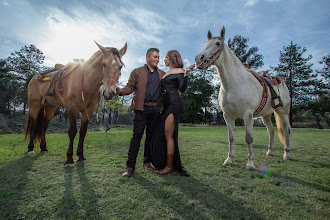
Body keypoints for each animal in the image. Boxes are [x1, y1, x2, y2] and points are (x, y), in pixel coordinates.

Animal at [195, 26, 290, 170]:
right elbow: (231, 138)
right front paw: (229, 159)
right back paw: (270, 152)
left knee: (286, 130)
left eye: (217, 43)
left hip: (283, 113)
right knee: (271, 130)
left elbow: (248, 138)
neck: (234, 84)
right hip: (266, 115)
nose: (199, 58)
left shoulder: (247, 115)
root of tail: (282, 82)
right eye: (205, 44)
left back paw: (287, 154)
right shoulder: (227, 116)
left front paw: (250, 163)